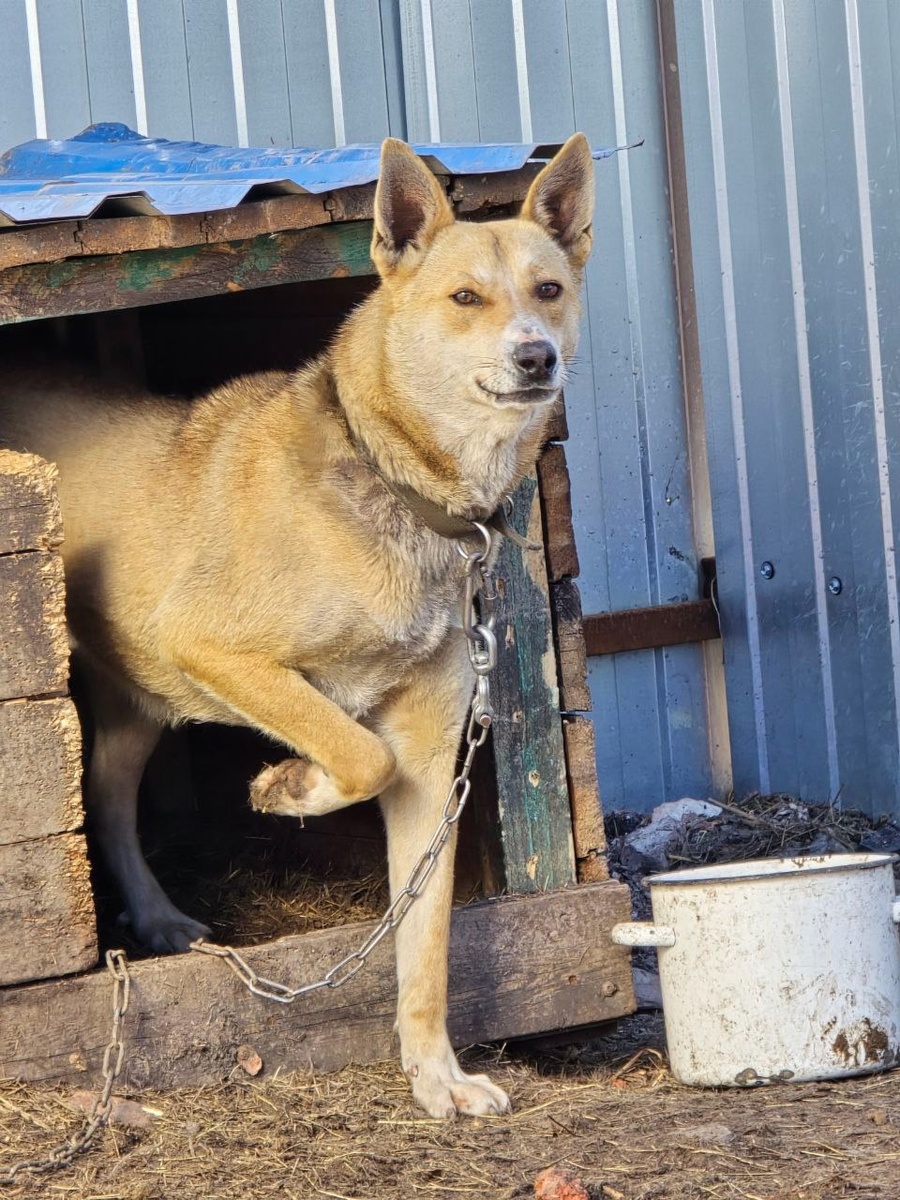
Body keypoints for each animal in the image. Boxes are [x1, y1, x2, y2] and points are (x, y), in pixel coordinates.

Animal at [0, 134, 593, 1117]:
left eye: (548, 289)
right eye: (465, 299)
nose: (537, 357)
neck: (399, 485)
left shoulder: (432, 759)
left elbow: (424, 944)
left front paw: (437, 1076)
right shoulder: (210, 646)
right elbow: (357, 751)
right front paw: (290, 785)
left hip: (137, 704)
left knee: (110, 803)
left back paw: (156, 917)